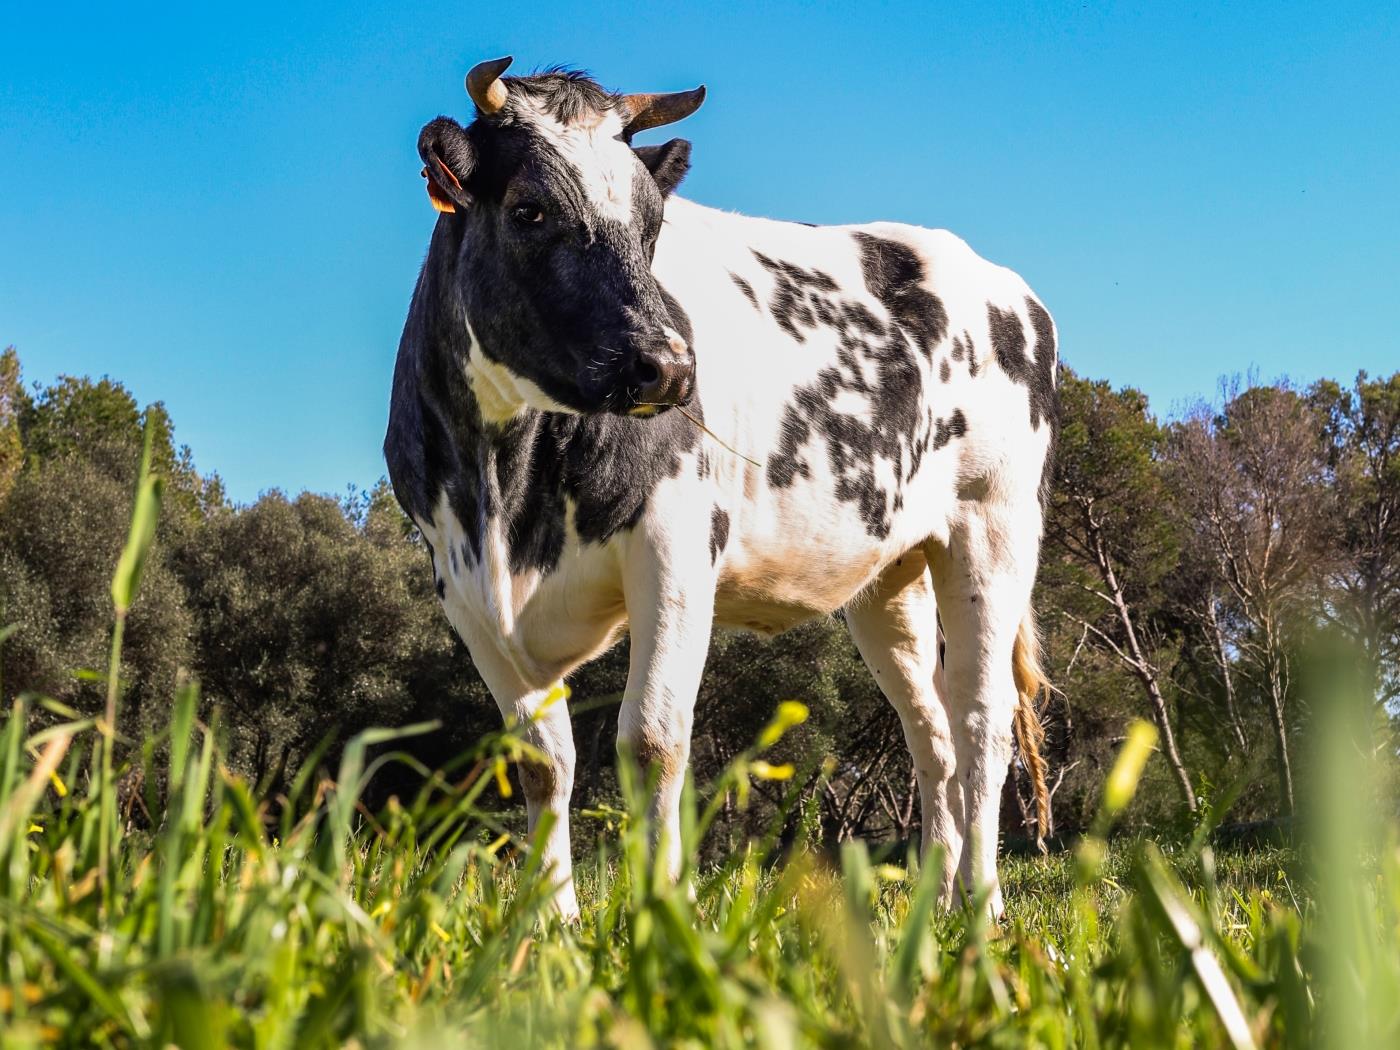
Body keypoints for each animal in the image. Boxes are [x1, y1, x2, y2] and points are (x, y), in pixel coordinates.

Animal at [383, 57, 1052, 918]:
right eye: (530, 209)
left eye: (651, 223)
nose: (668, 367)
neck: (507, 489)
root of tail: (998, 282)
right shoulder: (462, 588)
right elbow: (540, 761)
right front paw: (549, 918)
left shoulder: (674, 549)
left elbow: (652, 739)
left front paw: (662, 903)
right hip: (892, 575)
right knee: (929, 731)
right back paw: (933, 901)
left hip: (994, 531)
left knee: (981, 723)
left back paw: (981, 901)